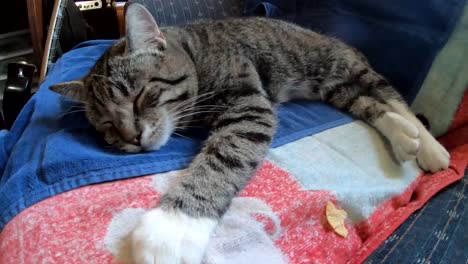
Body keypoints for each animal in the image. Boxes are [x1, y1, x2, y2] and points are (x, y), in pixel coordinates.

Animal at [50, 3, 450, 264]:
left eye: (139, 96)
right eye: (107, 125)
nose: (131, 137)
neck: (193, 54)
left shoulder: (249, 106)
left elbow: (222, 159)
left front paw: (172, 227)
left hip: (342, 64)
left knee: (393, 97)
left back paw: (431, 148)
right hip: (334, 88)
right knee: (372, 107)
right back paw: (405, 138)